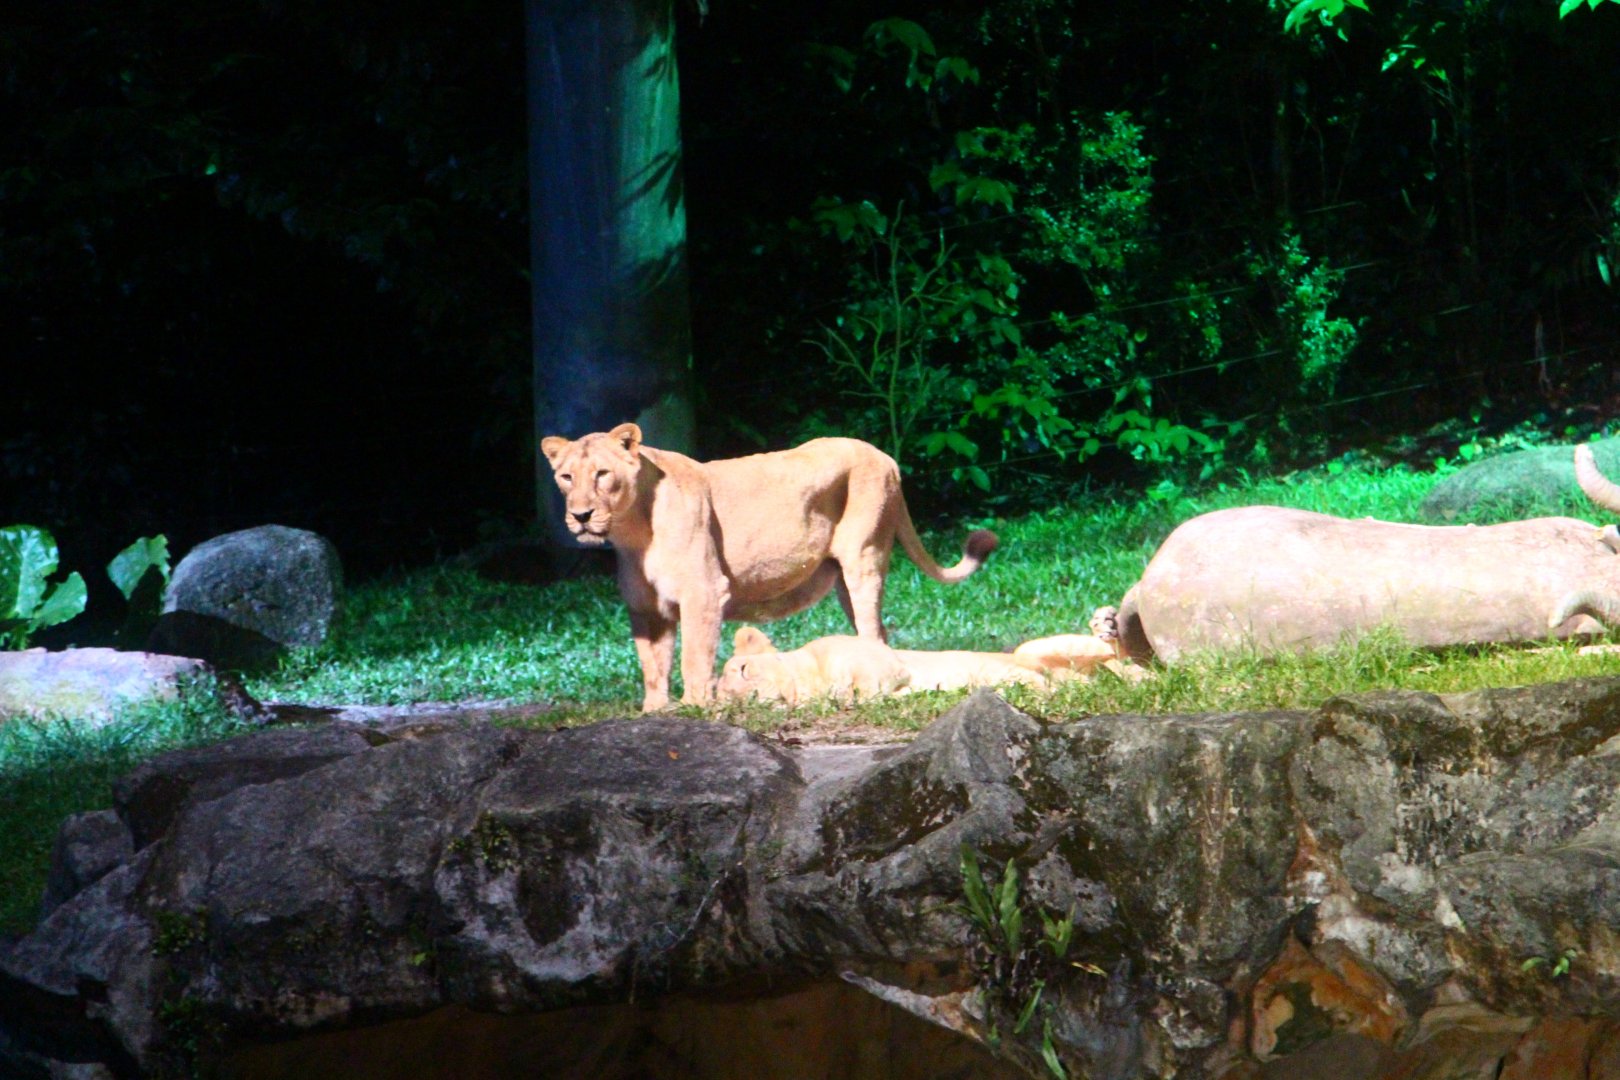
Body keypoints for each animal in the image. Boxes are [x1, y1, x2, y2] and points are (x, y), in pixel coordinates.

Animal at [539, 423, 999, 711]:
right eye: (566, 477)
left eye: (602, 474)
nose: (580, 516)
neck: (634, 532)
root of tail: (886, 458)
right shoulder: (645, 609)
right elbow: (653, 664)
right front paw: (653, 709)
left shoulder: (704, 592)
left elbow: (693, 656)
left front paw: (694, 704)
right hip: (843, 580)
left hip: (864, 558)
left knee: (873, 630)